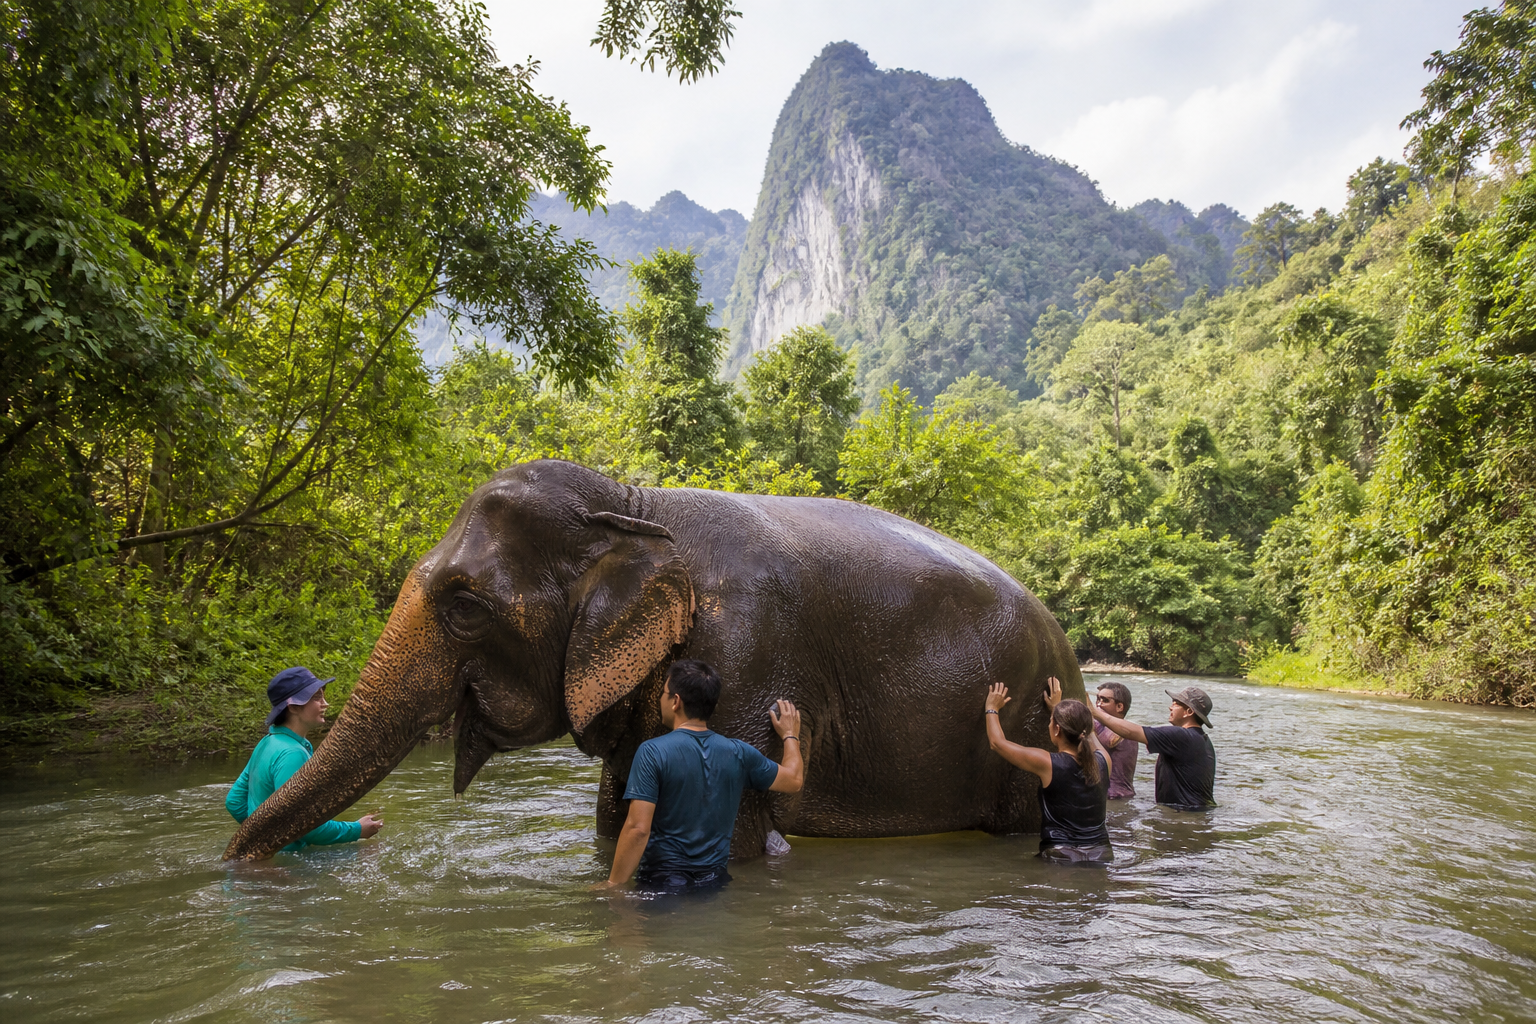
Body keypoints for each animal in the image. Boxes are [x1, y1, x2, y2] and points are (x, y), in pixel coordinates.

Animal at [223, 459, 1084, 861]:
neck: (634, 506)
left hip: (1024, 734)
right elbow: (618, 819)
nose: (231, 863)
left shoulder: (745, 657)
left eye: (464, 603)